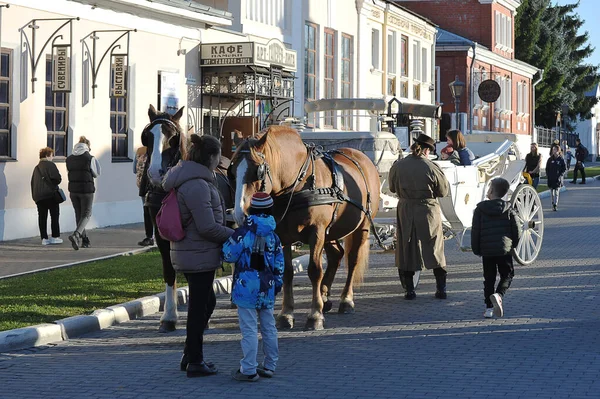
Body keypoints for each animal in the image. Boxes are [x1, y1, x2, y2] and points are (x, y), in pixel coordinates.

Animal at [230, 126, 380, 330]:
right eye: (232, 171)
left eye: (257, 171)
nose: (240, 214)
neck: (297, 183)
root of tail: (362, 159)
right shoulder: (282, 235)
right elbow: (287, 273)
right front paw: (286, 314)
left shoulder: (316, 232)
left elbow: (315, 270)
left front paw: (315, 315)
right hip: (331, 231)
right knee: (336, 255)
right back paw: (325, 296)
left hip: (360, 228)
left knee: (352, 260)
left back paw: (346, 301)